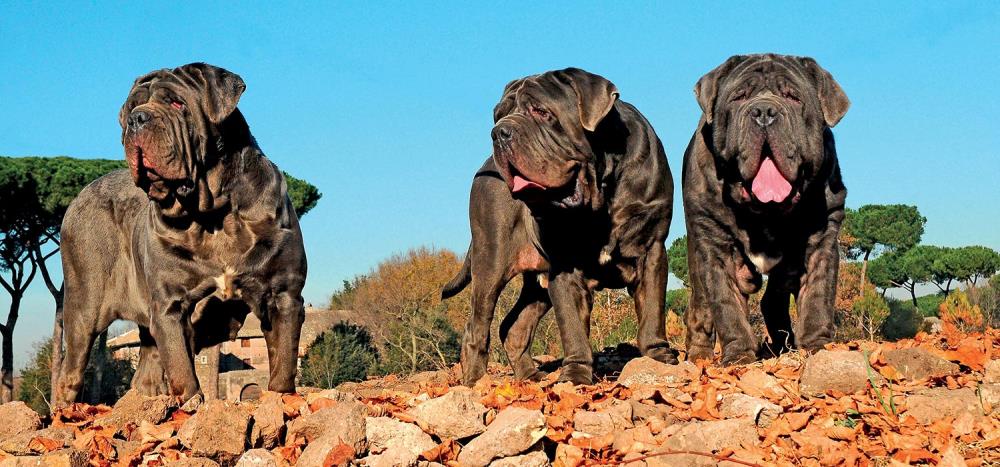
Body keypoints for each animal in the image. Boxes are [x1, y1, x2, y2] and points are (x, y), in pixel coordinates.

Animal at [53, 63, 304, 406]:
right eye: (131, 108)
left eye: (176, 103)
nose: (136, 119)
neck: (213, 214)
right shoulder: (170, 307)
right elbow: (183, 370)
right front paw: (192, 406)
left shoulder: (284, 295)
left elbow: (283, 363)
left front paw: (280, 402)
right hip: (83, 306)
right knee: (71, 371)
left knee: (145, 372)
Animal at [442, 67, 676, 386]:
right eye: (498, 115)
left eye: (541, 111)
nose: (499, 132)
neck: (600, 195)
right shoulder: (565, 267)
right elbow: (572, 326)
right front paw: (575, 375)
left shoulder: (651, 250)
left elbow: (653, 309)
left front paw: (658, 357)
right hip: (490, 262)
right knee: (477, 327)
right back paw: (475, 383)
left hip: (536, 284)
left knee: (513, 326)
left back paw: (531, 376)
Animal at [684, 53, 848, 364]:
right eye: (739, 97)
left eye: (793, 97)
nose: (763, 111)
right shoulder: (715, 244)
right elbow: (726, 305)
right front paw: (738, 356)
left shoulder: (822, 238)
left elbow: (818, 297)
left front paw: (817, 347)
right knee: (702, 307)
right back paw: (699, 355)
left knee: (773, 300)